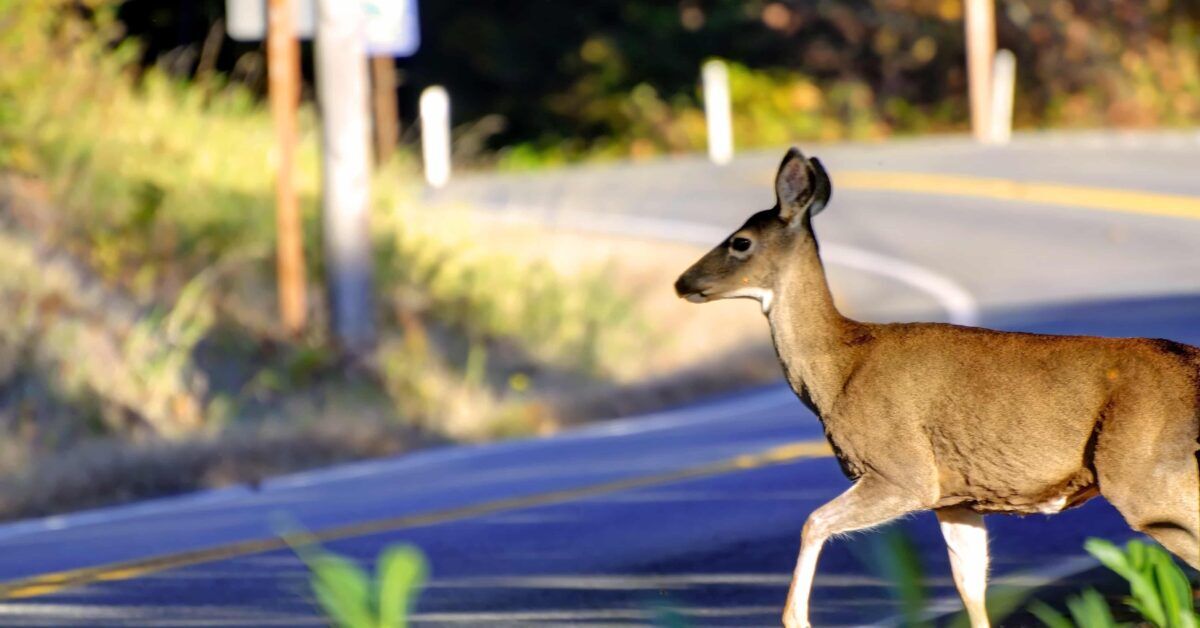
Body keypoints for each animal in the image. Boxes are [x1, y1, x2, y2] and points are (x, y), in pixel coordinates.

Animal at [674, 147, 1200, 627]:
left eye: (740, 242)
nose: (682, 282)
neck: (839, 366)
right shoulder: (958, 496)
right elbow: (970, 588)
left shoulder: (902, 470)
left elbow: (813, 522)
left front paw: (795, 618)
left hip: (1146, 476)